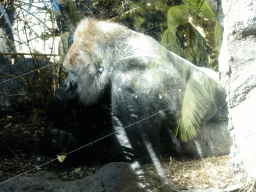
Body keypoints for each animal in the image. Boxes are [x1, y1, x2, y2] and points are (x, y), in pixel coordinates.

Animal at [43, 18, 231, 172]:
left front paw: (65, 148)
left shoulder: (132, 77)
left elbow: (135, 151)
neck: (119, 53)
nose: (63, 87)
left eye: (72, 73)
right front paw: (56, 132)